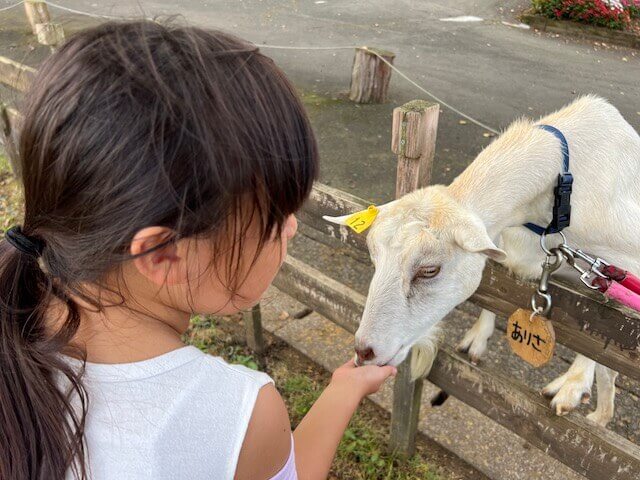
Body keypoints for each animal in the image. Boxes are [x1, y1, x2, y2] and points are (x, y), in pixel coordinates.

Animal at [324, 95, 640, 426]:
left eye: (429, 270)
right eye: (374, 258)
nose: (364, 352)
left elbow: (602, 331)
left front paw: (578, 390)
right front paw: (476, 340)